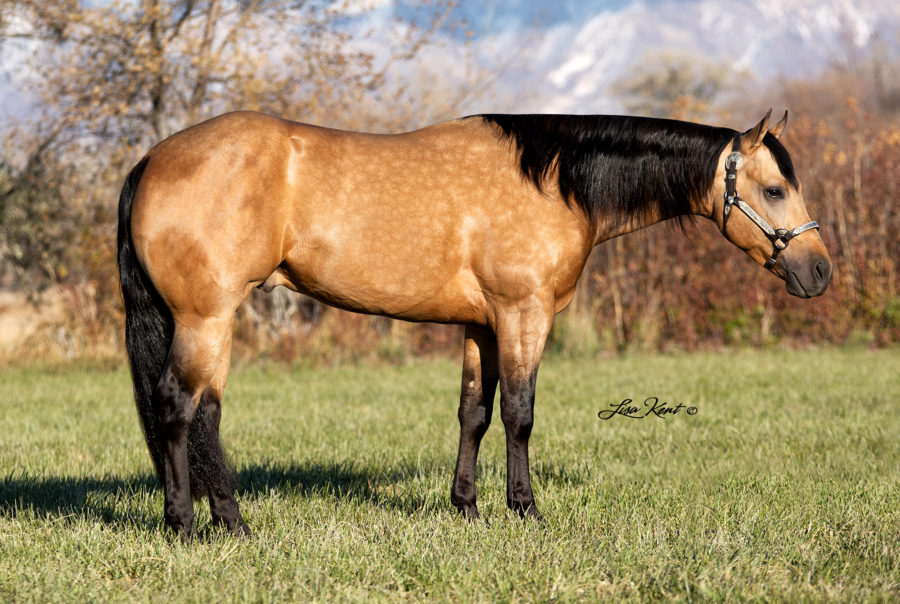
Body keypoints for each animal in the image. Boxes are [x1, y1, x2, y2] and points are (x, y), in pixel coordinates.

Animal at [117, 108, 831, 539]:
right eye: (774, 190)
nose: (819, 271)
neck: (552, 182)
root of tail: (153, 158)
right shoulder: (523, 314)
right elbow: (519, 413)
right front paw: (525, 509)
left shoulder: (483, 326)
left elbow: (474, 414)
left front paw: (466, 507)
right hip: (206, 317)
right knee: (178, 407)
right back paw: (187, 524)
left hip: (213, 321)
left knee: (205, 413)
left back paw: (229, 522)